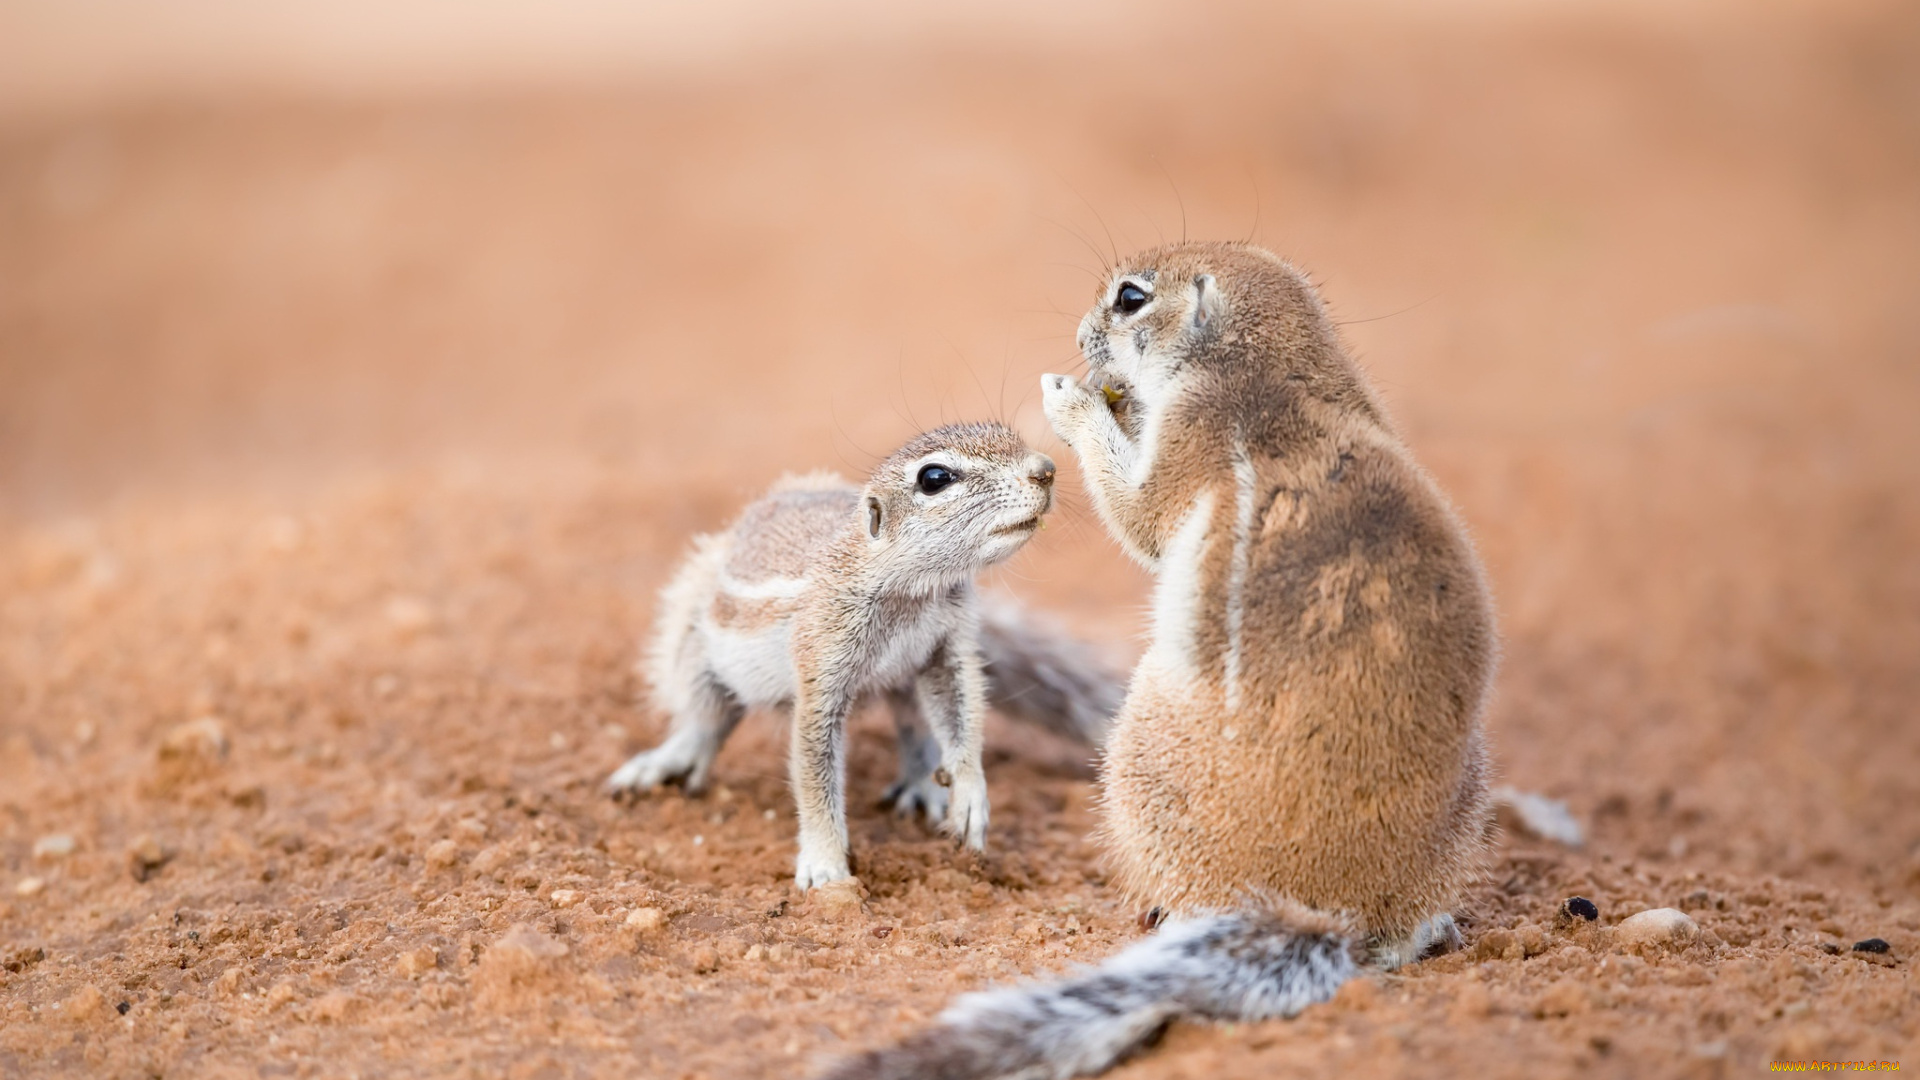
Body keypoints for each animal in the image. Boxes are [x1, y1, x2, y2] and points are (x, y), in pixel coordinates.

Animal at [610, 418, 1075, 883]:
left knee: (915, 729)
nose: (1046, 469)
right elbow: (814, 774)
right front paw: (825, 867)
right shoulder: (822, 661)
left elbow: (963, 719)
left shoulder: (947, 650)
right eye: (935, 478)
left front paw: (970, 799)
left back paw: (923, 786)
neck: (907, 591)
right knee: (704, 716)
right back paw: (667, 760)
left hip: (905, 681)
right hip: (693, 636)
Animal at [825, 244, 1497, 1076]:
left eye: (1129, 298)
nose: (1080, 337)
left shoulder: (1191, 436)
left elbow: (1139, 514)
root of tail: (1324, 909)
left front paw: (1073, 401)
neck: (1283, 369)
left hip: (1132, 754)